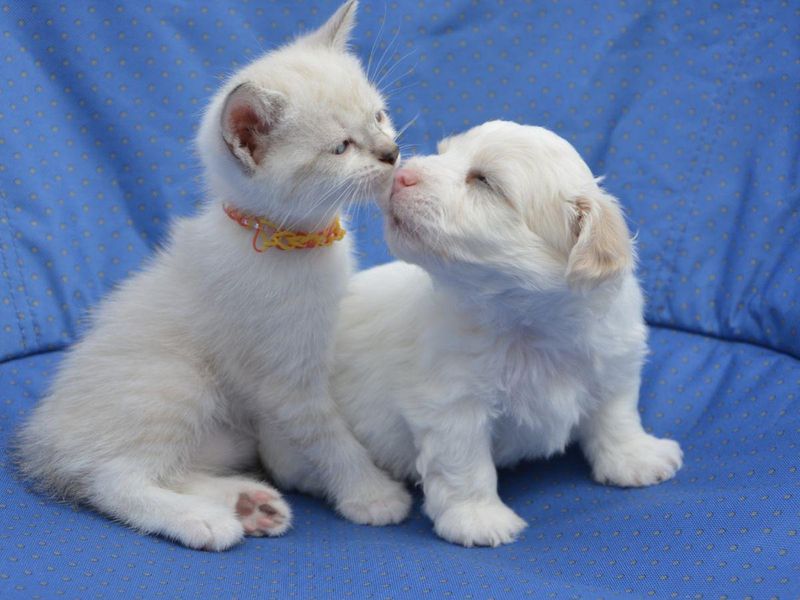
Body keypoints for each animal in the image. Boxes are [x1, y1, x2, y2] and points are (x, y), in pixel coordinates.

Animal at [17, 0, 411, 551]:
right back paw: (203, 520)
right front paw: (370, 494)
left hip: (225, 435)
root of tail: (42, 438)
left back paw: (250, 503)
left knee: (170, 467)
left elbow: (288, 438)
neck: (286, 241)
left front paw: (298, 472)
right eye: (340, 148)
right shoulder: (284, 375)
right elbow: (329, 436)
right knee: (112, 476)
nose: (391, 153)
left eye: (379, 116)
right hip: (176, 381)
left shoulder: (287, 369)